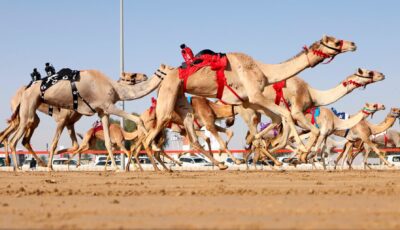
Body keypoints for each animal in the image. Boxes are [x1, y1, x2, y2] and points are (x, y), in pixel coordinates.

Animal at [6, 65, 163, 171]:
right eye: (132, 75)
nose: (144, 75)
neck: (113, 88)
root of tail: (25, 89)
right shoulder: (108, 106)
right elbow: (138, 119)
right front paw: (151, 140)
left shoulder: (103, 112)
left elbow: (107, 142)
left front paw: (116, 167)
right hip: (28, 109)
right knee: (14, 139)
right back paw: (19, 168)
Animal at [144, 36, 356, 170]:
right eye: (336, 41)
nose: (353, 44)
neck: (264, 71)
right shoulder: (255, 96)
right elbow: (286, 115)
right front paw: (301, 152)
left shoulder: (249, 101)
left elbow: (277, 121)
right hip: (168, 96)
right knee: (150, 138)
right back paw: (162, 169)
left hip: (181, 99)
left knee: (193, 136)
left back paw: (220, 164)